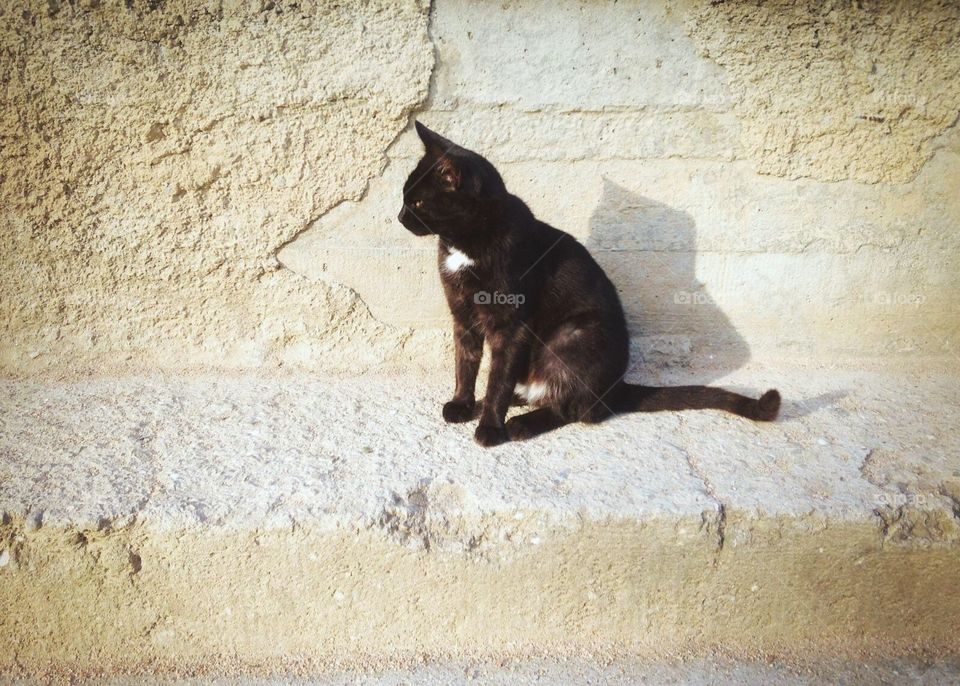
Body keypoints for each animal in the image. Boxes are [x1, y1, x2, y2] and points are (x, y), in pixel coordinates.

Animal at [398, 121, 780, 448]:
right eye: (405, 196)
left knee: (578, 409)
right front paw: (462, 404)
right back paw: (506, 404)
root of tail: (615, 387)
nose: (399, 216)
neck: (464, 246)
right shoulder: (462, 315)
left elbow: (498, 381)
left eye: (417, 201)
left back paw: (521, 423)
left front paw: (490, 427)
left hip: (573, 336)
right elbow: (466, 364)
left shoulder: (511, 326)